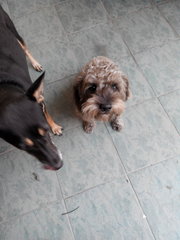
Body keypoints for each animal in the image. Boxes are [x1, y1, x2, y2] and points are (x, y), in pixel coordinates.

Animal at [0, 5, 63, 171]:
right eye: (24, 147)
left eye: (45, 131)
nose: (58, 165)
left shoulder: (39, 99)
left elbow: (47, 114)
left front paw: (55, 127)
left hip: (13, 31)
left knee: (25, 48)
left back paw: (35, 63)